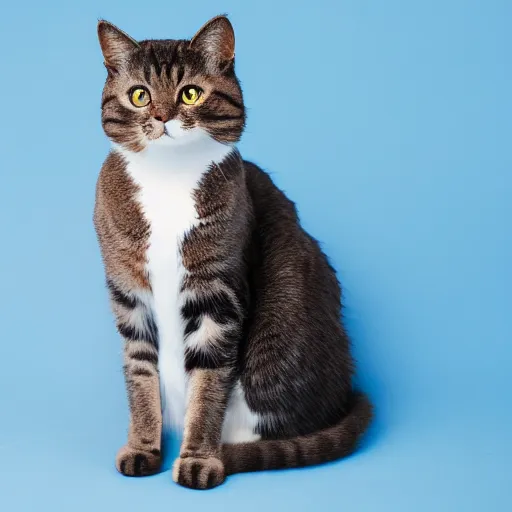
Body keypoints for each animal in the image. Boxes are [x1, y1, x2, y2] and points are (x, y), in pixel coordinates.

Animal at [94, 15, 372, 488]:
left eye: (190, 93)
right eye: (139, 95)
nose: (162, 116)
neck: (168, 182)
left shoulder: (217, 297)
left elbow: (208, 384)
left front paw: (199, 458)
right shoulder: (128, 295)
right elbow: (139, 375)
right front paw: (143, 448)